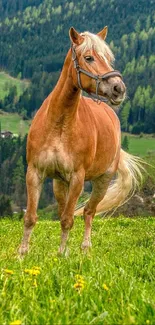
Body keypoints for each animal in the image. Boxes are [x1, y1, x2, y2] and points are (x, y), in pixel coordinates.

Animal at [18, 25, 142, 254]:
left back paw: (85, 248)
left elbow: (68, 220)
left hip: (102, 181)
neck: (58, 125)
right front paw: (22, 254)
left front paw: (61, 255)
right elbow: (31, 217)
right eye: (89, 57)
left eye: (108, 58)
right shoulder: (35, 173)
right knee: (64, 209)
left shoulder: (77, 178)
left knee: (88, 212)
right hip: (59, 183)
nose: (119, 89)